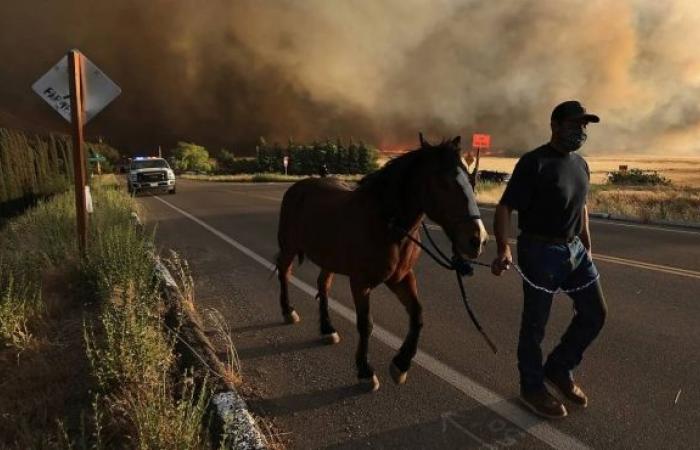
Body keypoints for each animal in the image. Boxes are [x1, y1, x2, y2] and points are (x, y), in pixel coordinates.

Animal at [274, 134, 486, 390]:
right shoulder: (360, 283)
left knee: (322, 285)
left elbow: (417, 316)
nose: (477, 239)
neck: (387, 224)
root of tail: (298, 187)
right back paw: (288, 311)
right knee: (284, 274)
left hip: (329, 258)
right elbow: (366, 324)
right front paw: (365, 370)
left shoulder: (401, 278)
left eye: (472, 180)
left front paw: (401, 365)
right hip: (289, 248)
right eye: (443, 183)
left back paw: (327, 329)